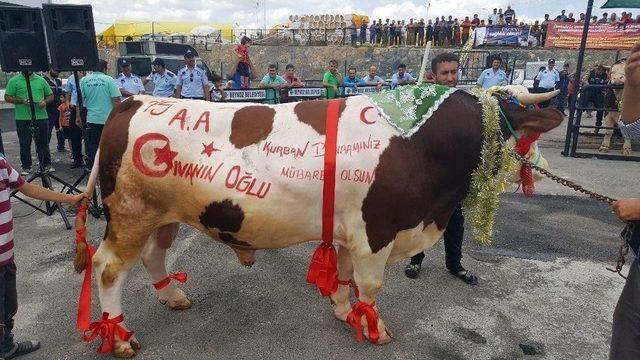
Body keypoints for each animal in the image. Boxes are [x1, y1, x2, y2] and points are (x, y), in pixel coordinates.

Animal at [75, 85, 564, 358]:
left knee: (154, 257)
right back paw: (119, 337)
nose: (536, 168)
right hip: (131, 213)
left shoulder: (353, 231)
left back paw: (173, 296)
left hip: (163, 215)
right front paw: (375, 328)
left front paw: (343, 310)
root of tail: (132, 101)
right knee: (108, 268)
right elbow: (371, 285)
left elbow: (345, 275)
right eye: (512, 133)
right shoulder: (376, 231)